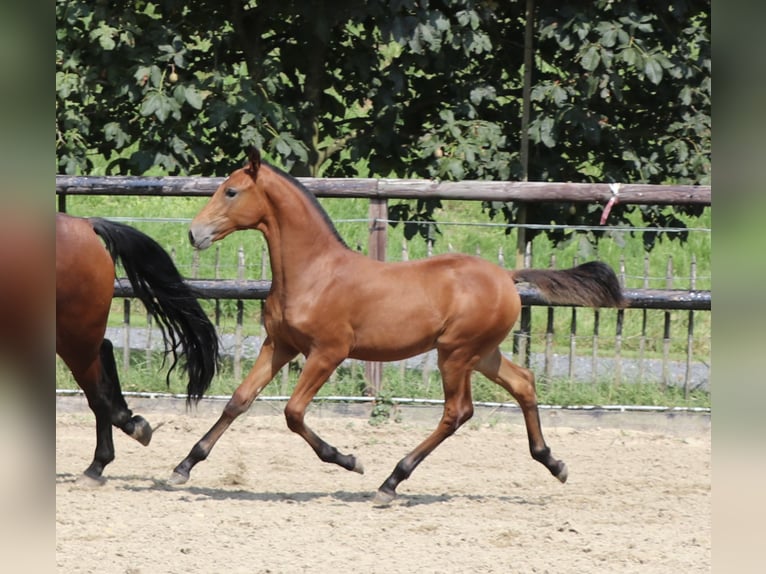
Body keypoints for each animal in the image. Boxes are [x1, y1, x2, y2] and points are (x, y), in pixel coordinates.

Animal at [56, 214, 219, 484]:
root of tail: (86, 223)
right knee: (105, 350)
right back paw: (130, 425)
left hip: (74, 333)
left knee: (98, 392)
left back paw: (97, 466)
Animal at [170, 151, 624, 506]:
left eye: (231, 191)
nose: (193, 233)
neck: (314, 273)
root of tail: (507, 276)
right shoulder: (279, 344)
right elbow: (238, 401)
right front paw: (184, 465)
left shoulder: (328, 352)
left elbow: (293, 413)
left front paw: (349, 461)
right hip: (482, 353)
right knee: (524, 383)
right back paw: (553, 462)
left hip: (455, 354)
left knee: (457, 412)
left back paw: (390, 482)